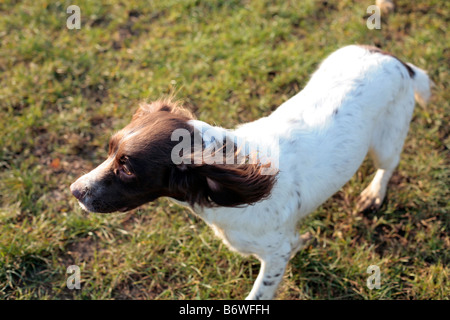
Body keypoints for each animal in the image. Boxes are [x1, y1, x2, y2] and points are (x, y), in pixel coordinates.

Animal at [68, 45, 430, 300]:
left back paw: (373, 194)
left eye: (127, 168)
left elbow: (261, 290)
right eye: (110, 149)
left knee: (387, 166)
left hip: (386, 140)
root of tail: (395, 59)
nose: (75, 190)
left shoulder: (276, 253)